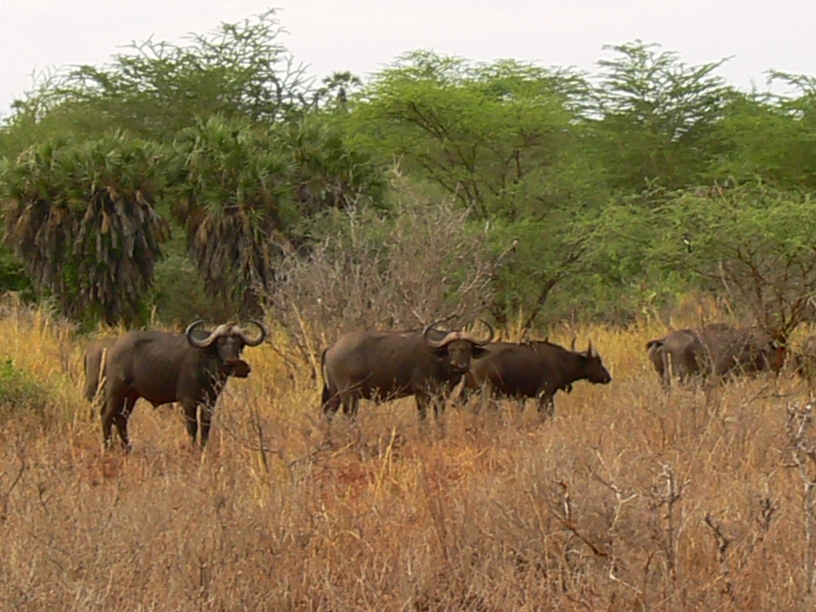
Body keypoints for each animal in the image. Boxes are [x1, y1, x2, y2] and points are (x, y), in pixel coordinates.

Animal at [101, 320, 266, 450]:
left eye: (238, 344)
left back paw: (128, 448)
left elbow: (205, 425)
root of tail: (113, 347)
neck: (206, 364)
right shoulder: (188, 401)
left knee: (121, 419)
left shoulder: (210, 402)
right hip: (115, 392)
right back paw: (108, 447)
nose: (231, 361)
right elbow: (192, 426)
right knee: (107, 416)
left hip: (130, 396)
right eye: (221, 342)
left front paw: (203, 448)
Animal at [321, 321, 494, 421]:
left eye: (467, 348)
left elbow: (439, 415)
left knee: (329, 413)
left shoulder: (442, 394)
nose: (460, 365)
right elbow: (422, 416)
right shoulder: (421, 392)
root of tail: (332, 347)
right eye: (451, 349)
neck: (439, 359)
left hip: (335, 394)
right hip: (349, 394)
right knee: (349, 416)